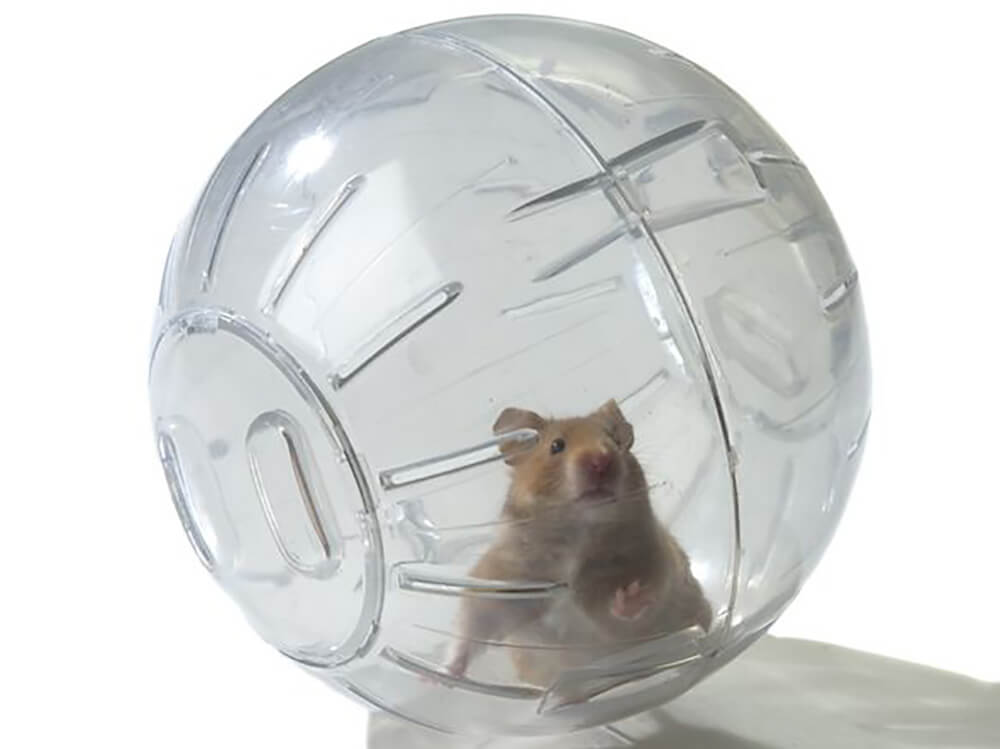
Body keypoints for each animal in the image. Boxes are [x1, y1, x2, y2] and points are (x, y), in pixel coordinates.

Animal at [447, 399, 711, 686]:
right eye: (557, 445)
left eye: (614, 440)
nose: (601, 460)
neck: (577, 535)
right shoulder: (501, 582)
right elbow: (472, 624)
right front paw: (445, 675)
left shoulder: (647, 580)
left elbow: (629, 612)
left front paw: (632, 593)